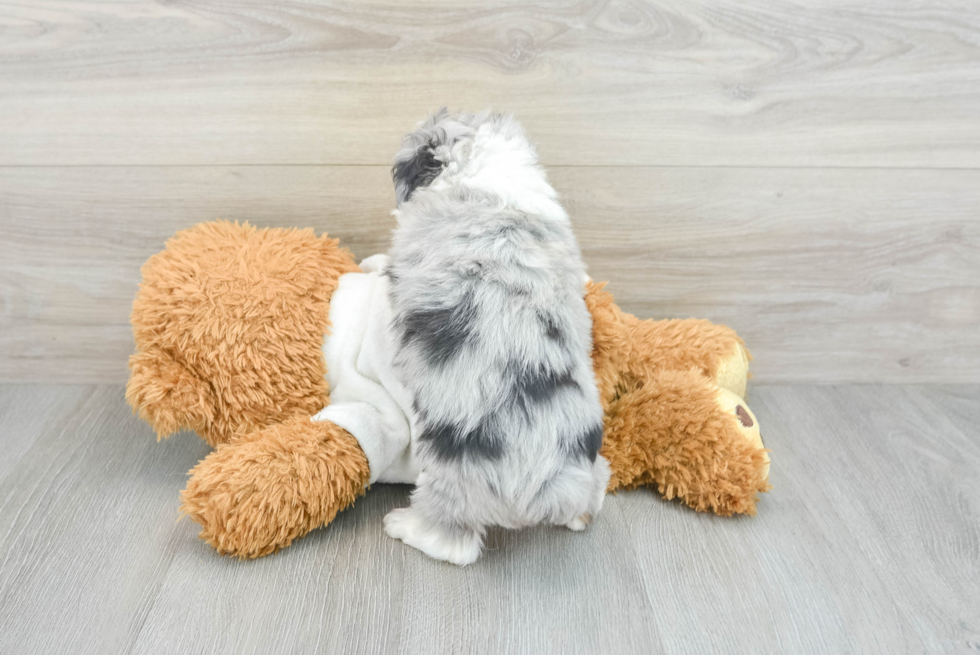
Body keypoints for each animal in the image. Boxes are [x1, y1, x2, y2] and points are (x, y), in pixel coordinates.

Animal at [384, 110, 608, 568]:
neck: (488, 179)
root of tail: (546, 488)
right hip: (595, 466)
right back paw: (579, 516)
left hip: (448, 478)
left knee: (454, 543)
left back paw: (403, 527)